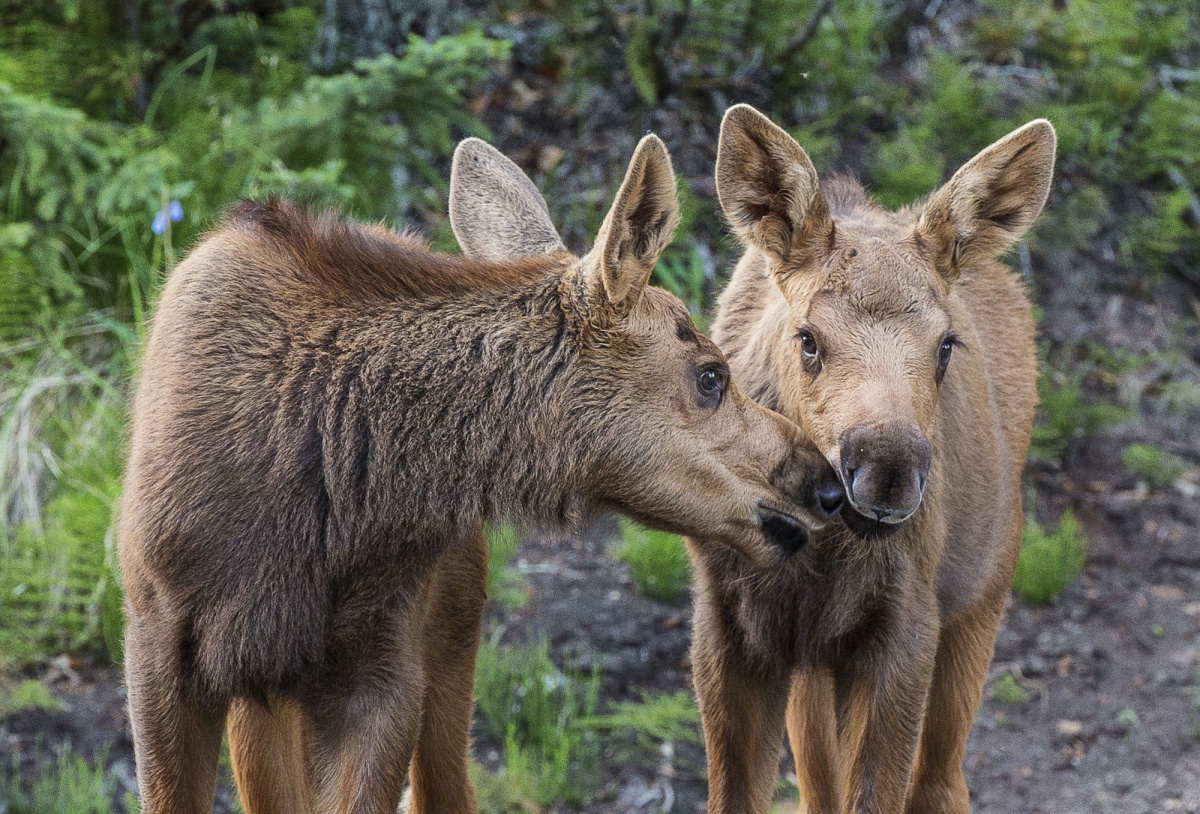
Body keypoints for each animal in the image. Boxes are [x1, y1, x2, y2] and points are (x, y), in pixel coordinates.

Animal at [691, 105, 1056, 811]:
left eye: (945, 345)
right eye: (808, 339)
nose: (887, 471)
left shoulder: (905, 627)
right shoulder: (730, 629)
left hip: (982, 595)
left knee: (941, 782)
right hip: (815, 668)